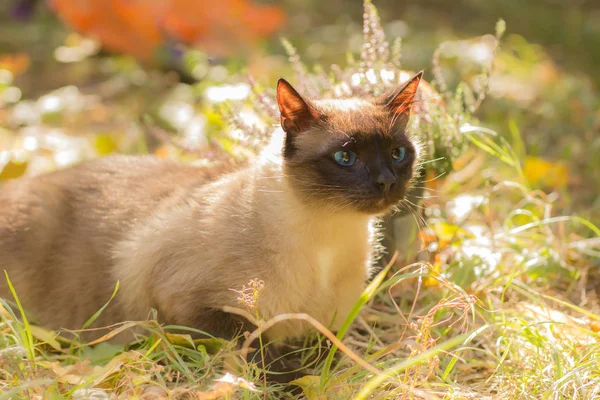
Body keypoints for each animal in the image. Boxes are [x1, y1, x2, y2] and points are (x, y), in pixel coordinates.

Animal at [0, 71, 422, 378]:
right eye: (345, 158)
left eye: (397, 153)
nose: (386, 182)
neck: (327, 240)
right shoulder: (187, 303)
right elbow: (261, 353)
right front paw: (293, 380)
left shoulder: (328, 322)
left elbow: (325, 357)